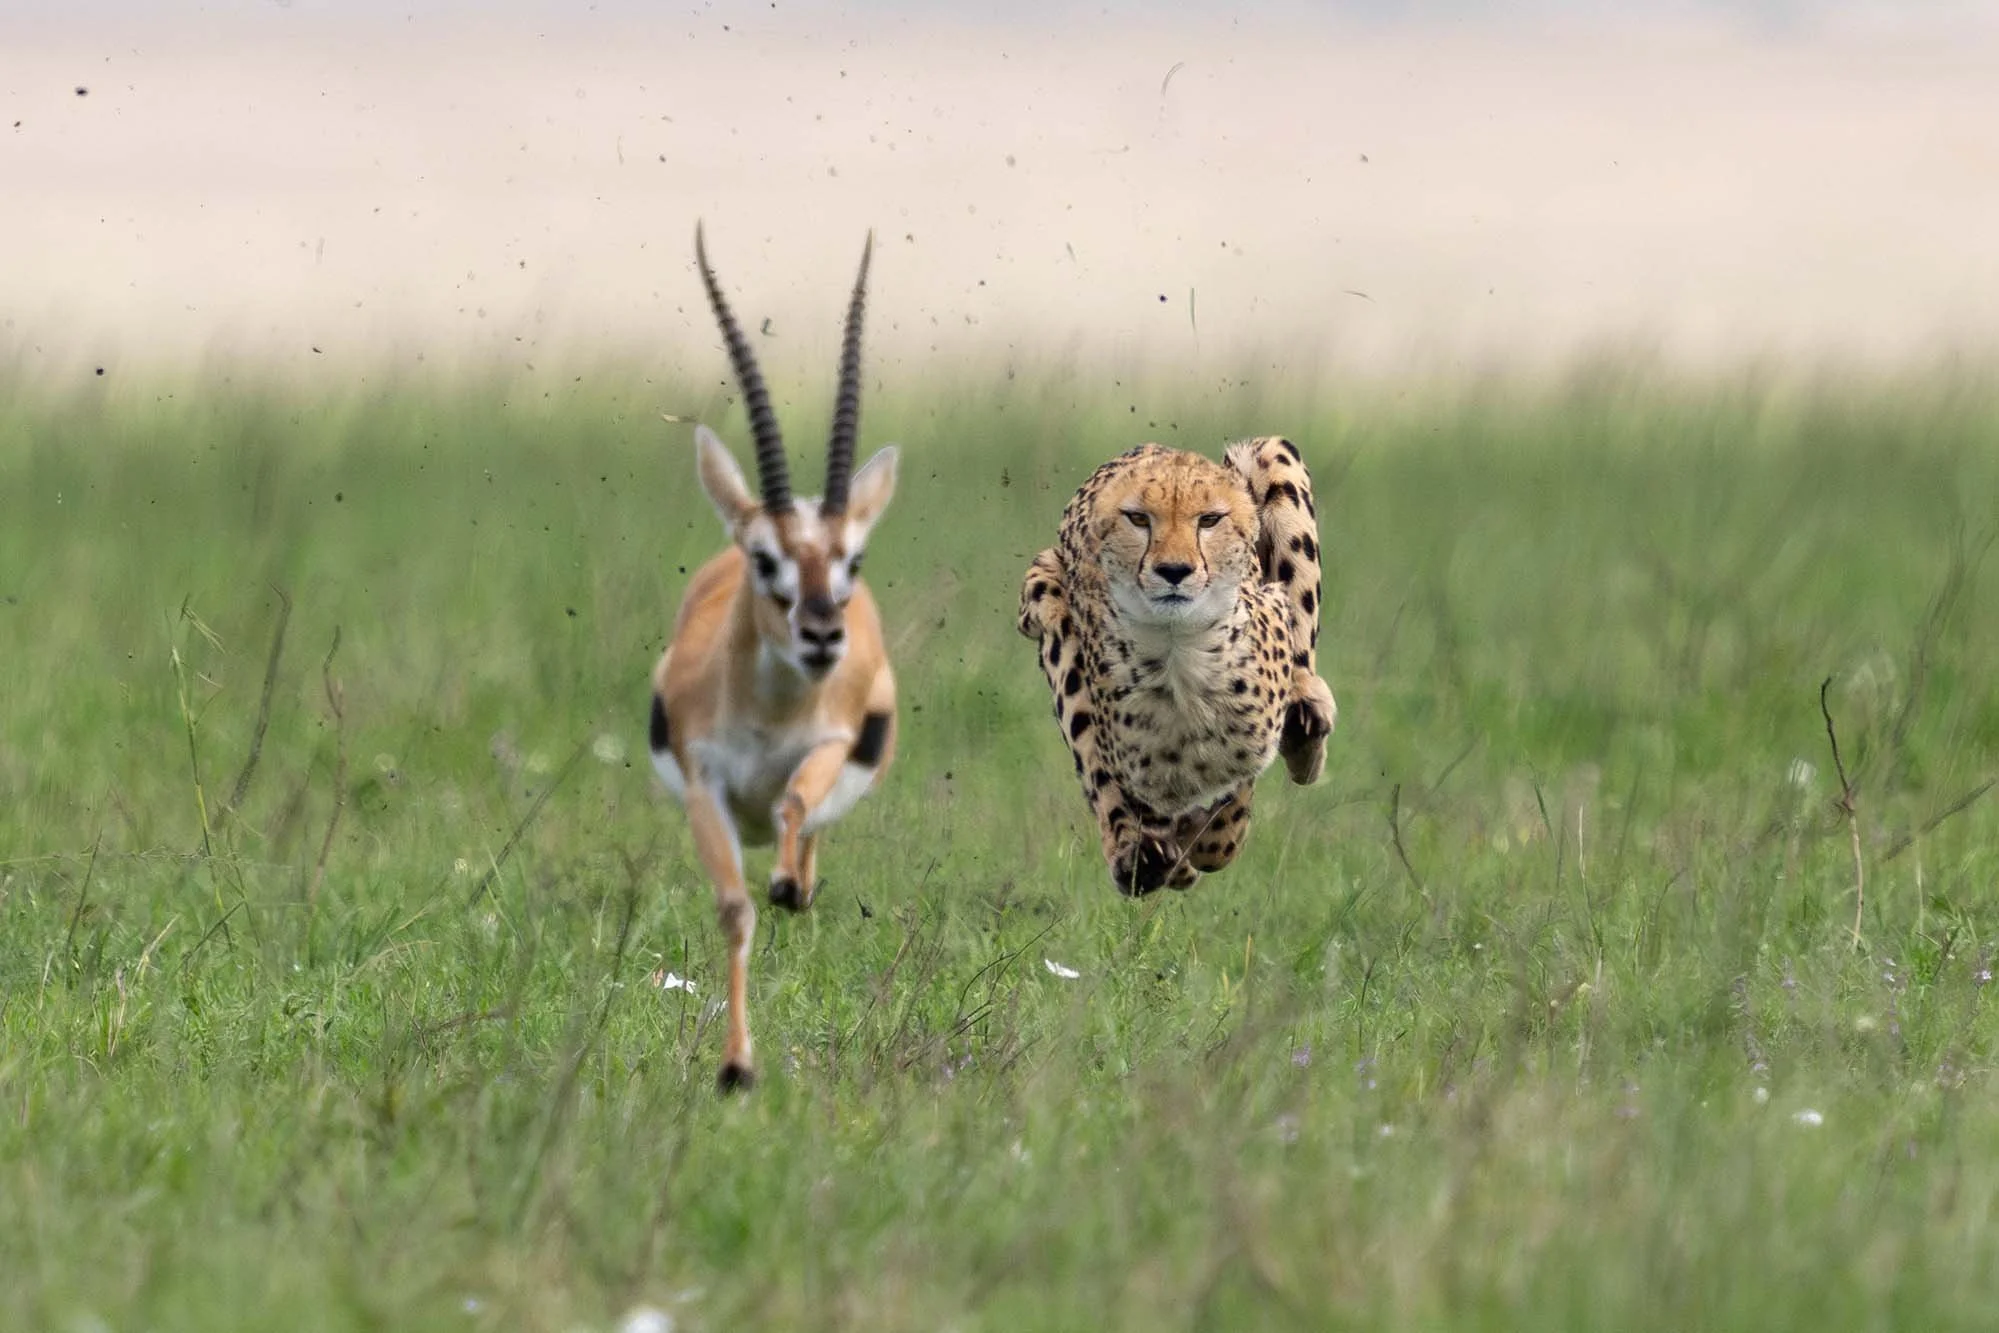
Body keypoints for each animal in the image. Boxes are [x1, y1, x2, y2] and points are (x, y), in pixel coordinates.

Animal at [1017, 437, 1336, 894]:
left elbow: (1230, 816)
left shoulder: (1249, 740)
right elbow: (1104, 774)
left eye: (1209, 520)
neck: (1179, 654)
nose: (1173, 571)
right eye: (1138, 519)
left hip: (1272, 455)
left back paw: (1306, 724)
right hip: (1045, 586)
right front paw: (1150, 853)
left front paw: (1203, 842)